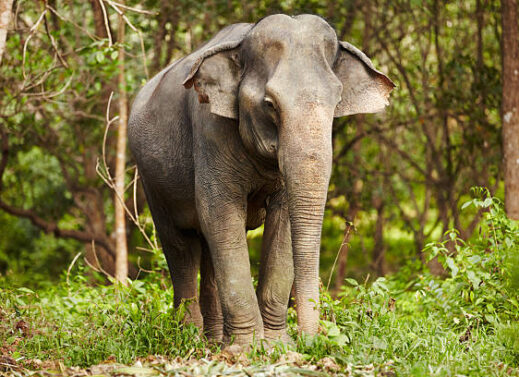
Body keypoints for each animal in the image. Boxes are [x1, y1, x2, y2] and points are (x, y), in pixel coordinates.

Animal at [129, 13, 394, 344]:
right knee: (180, 245)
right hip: (152, 180)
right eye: (270, 104)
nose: (312, 341)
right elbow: (220, 212)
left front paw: (277, 344)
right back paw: (190, 338)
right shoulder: (210, 130)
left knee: (208, 247)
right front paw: (248, 348)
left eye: (337, 102)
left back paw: (215, 340)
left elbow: (282, 222)